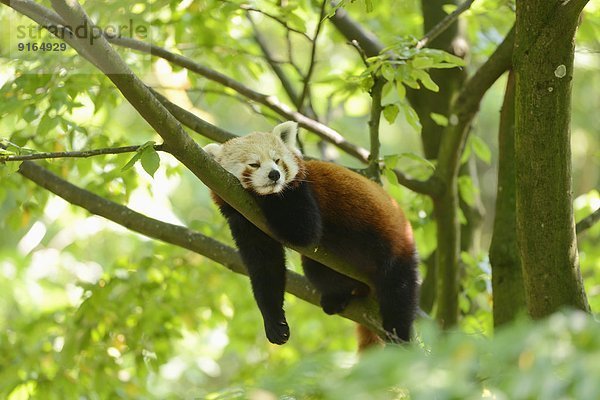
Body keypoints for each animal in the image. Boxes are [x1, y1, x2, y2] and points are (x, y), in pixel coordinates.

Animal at [202, 120, 418, 348]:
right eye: (254, 164)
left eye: (277, 160)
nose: (274, 175)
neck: (252, 207)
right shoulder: (246, 222)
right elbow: (265, 267)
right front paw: (274, 322)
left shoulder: (301, 193)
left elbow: (304, 231)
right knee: (317, 271)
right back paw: (337, 298)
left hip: (395, 249)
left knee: (398, 294)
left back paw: (399, 337)